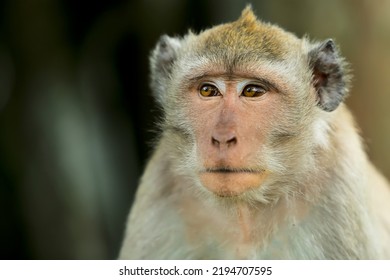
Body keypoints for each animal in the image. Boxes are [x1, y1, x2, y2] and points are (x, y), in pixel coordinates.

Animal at [119, 6, 390, 260]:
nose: (222, 138)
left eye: (252, 91)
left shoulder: (339, 192)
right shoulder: (161, 188)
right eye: (208, 90)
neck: (244, 213)